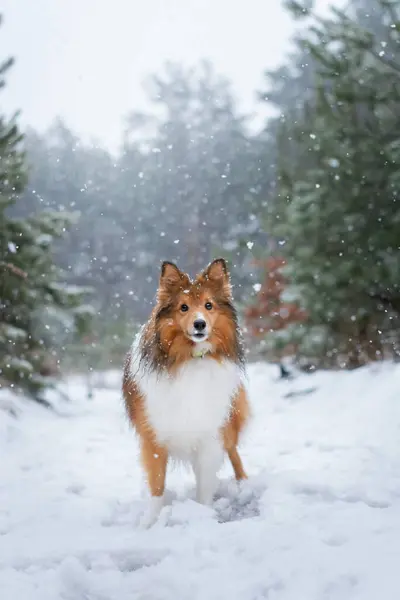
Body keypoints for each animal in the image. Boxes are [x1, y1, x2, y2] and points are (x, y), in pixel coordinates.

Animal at [122, 255, 248, 528]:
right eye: (183, 307)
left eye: (209, 305)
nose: (200, 324)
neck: (191, 358)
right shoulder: (154, 435)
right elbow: (157, 485)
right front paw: (150, 522)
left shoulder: (210, 434)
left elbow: (205, 486)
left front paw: (203, 515)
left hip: (229, 423)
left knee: (235, 454)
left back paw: (245, 485)